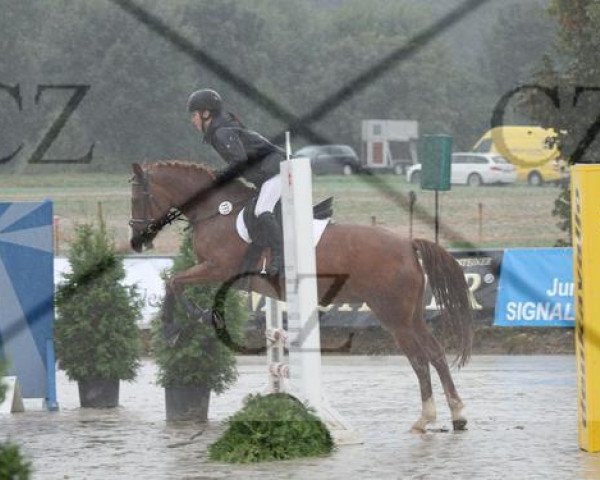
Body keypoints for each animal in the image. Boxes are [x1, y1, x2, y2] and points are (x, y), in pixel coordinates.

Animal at [130, 160, 474, 432]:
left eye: (138, 197)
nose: (136, 242)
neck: (217, 213)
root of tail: (408, 244)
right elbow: (177, 283)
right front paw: (194, 318)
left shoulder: (217, 268)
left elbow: (174, 282)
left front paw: (175, 326)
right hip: (410, 315)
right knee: (435, 353)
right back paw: (456, 414)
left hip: (393, 317)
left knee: (419, 359)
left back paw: (427, 417)